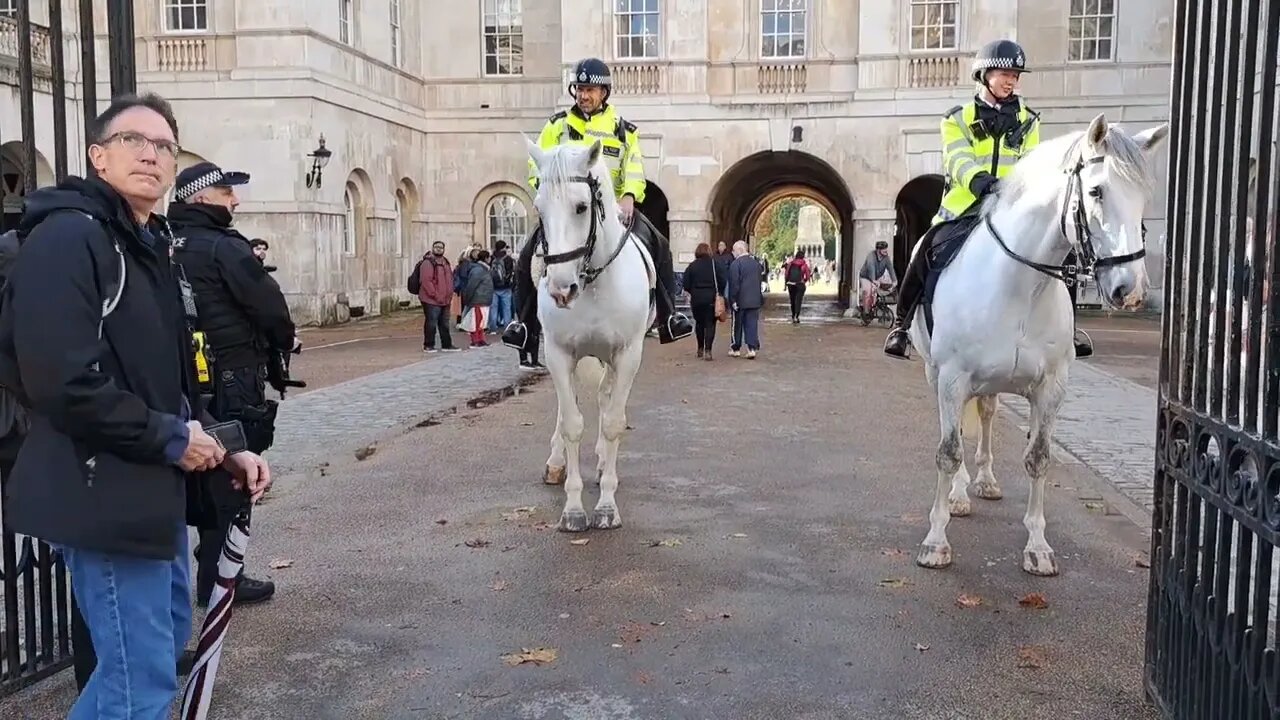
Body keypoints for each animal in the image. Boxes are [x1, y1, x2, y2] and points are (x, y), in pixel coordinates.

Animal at [524, 137, 655, 530]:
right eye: (539, 209)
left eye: (581, 207)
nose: (561, 289)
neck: (593, 283)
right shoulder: (558, 354)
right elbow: (571, 423)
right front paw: (573, 510)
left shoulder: (627, 355)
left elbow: (613, 422)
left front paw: (607, 506)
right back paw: (556, 463)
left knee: (606, 398)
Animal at [911, 114, 1172, 573]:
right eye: (1096, 191)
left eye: (1144, 197)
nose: (1131, 290)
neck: (1019, 287)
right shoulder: (952, 379)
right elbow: (948, 451)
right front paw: (936, 540)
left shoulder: (1051, 387)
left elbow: (1038, 458)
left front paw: (1037, 545)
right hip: (936, 373)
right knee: (958, 431)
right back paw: (959, 494)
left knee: (988, 415)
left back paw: (985, 480)